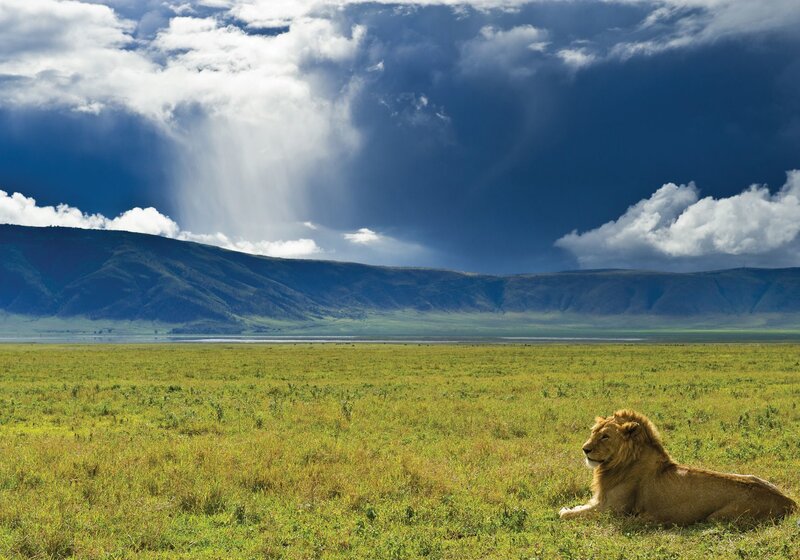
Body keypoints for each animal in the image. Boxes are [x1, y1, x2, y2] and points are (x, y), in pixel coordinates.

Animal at [559, 410, 797, 525]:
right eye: (593, 432)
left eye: (605, 436)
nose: (585, 449)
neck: (618, 463)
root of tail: (790, 502)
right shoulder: (600, 502)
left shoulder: (613, 511)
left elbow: (566, 515)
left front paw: (565, 511)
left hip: (718, 517)